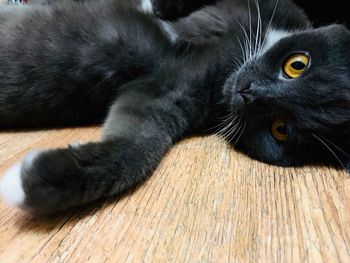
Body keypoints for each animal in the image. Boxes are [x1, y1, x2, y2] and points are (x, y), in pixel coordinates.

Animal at [0, 0, 350, 214]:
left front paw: (37, 180)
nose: (249, 93)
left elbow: (139, 145)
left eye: (280, 129)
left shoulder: (168, 89)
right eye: (297, 65)